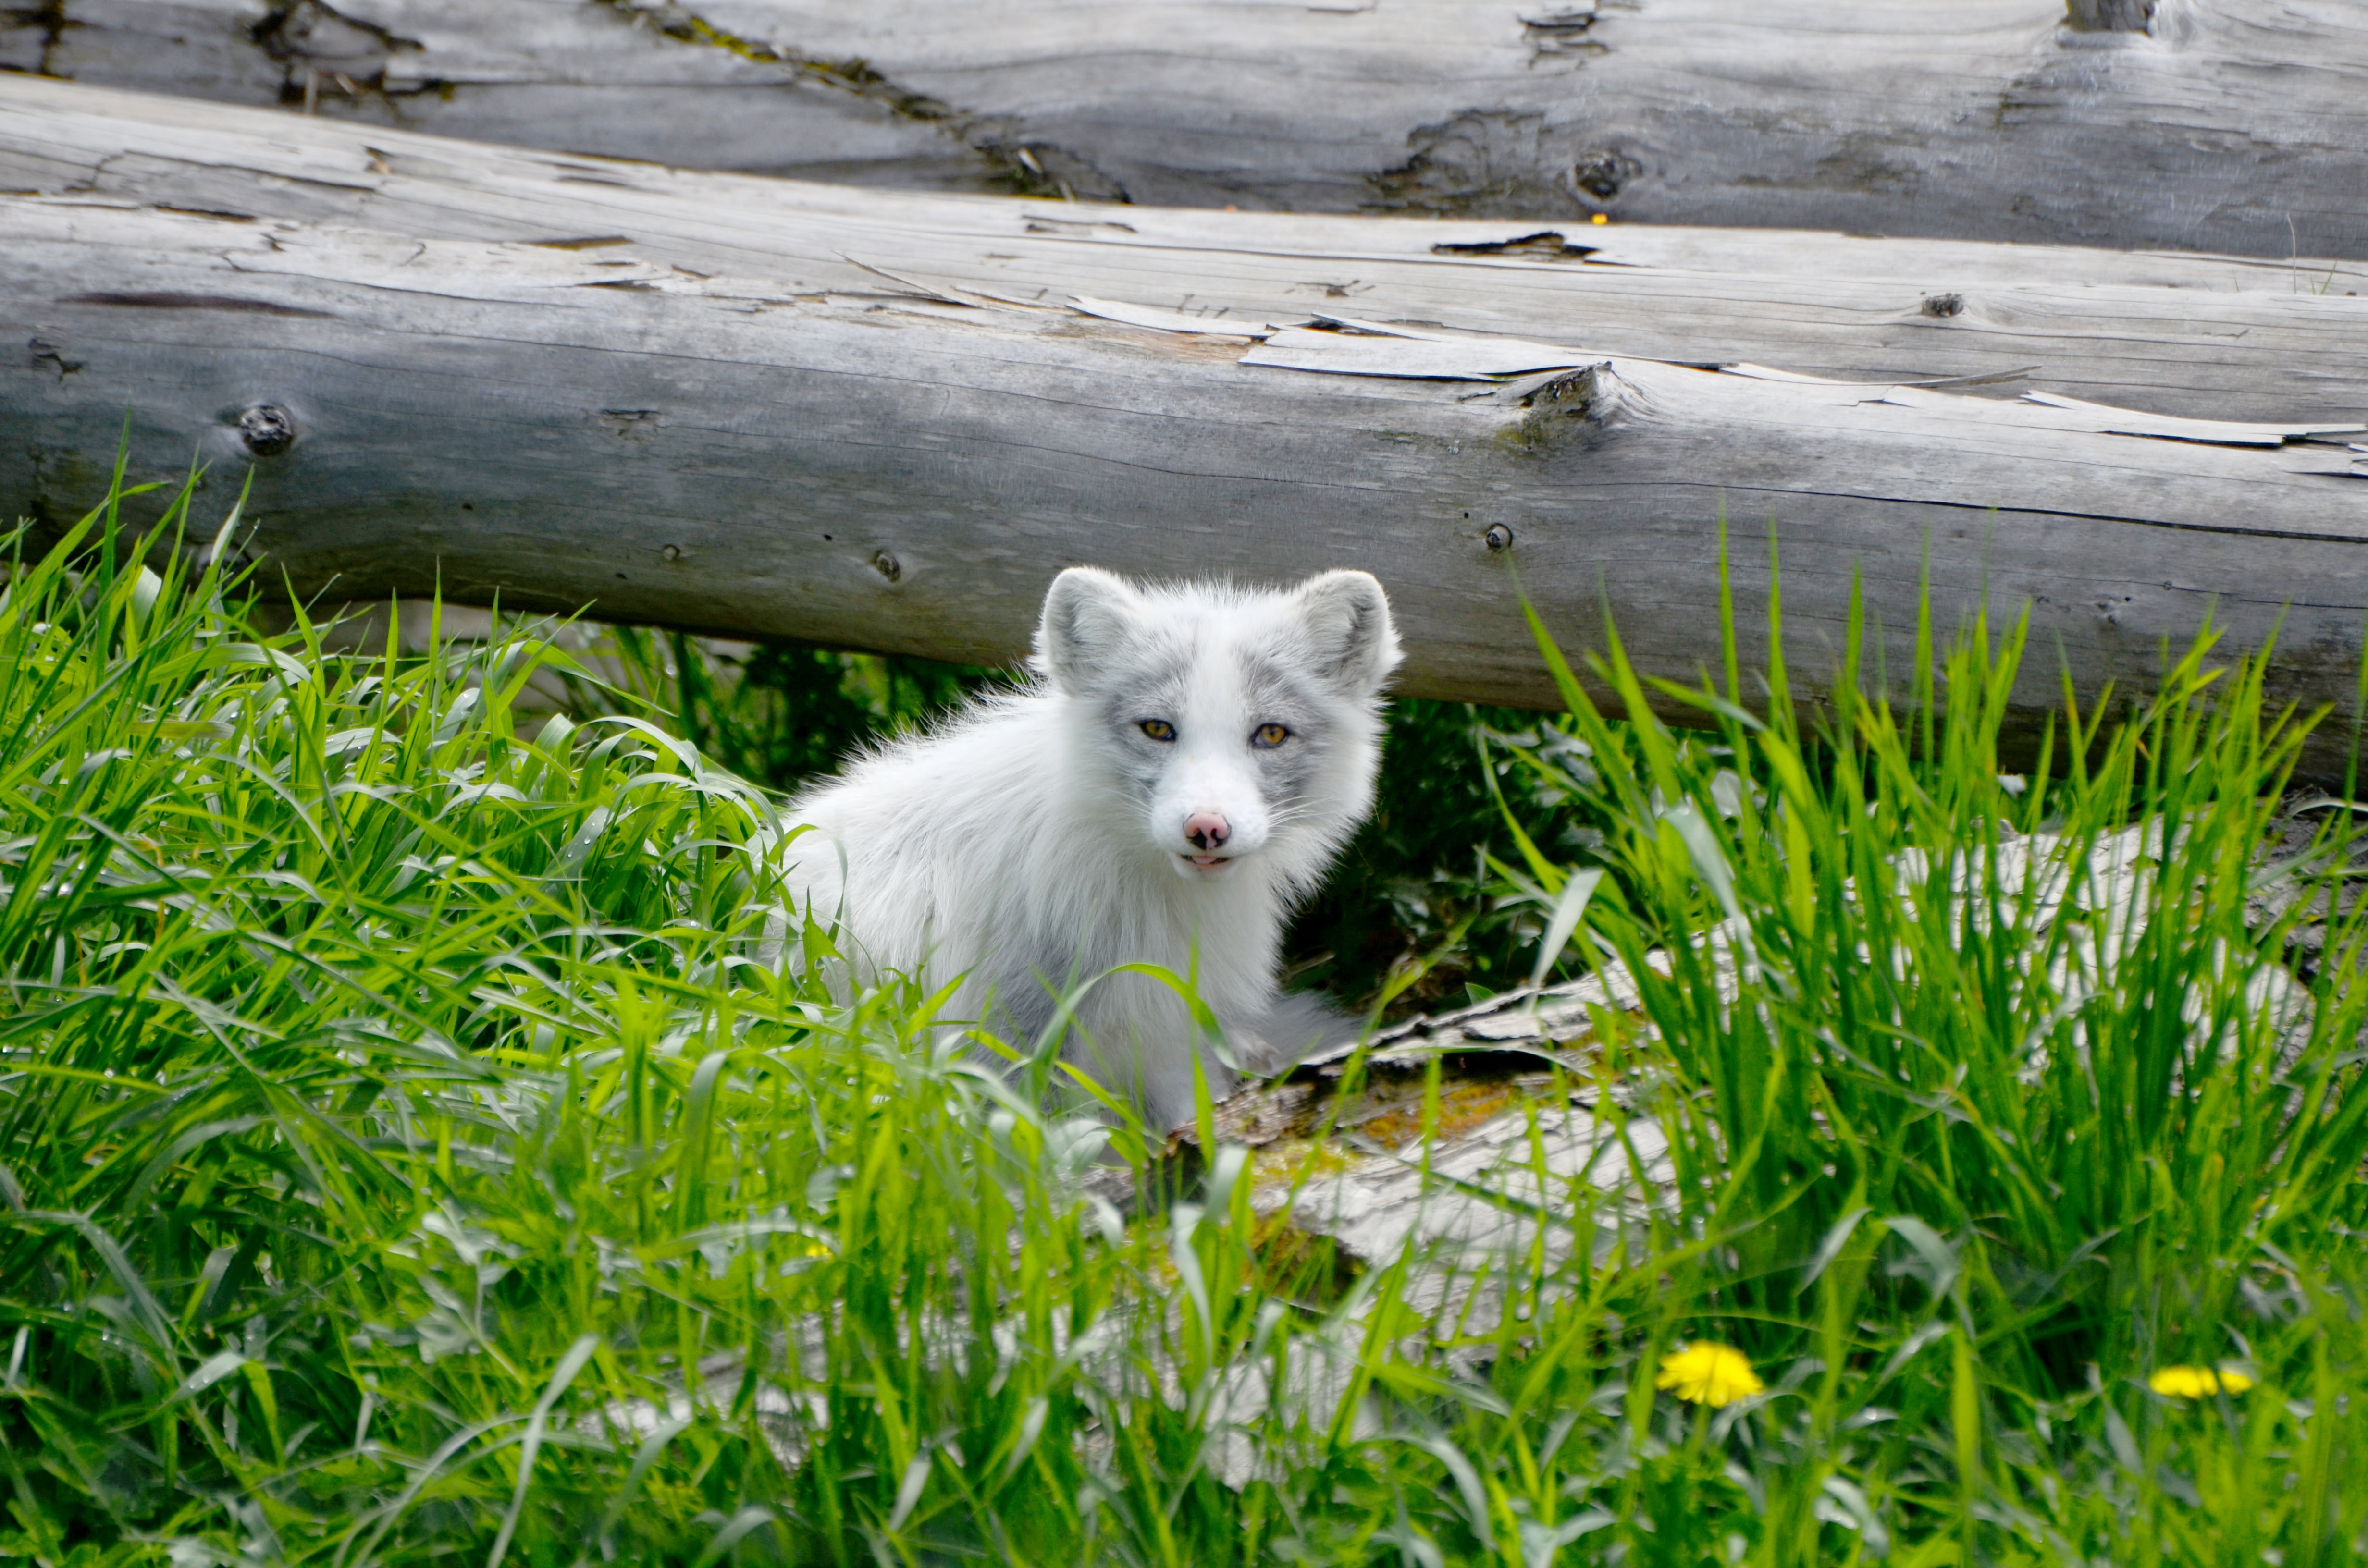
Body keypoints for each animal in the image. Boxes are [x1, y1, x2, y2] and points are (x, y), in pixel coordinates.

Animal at [773, 566, 1400, 1130]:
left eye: (1270, 734)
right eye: (1157, 729)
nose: (1205, 828)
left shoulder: (1165, 1029)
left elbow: (1183, 1121)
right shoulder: (1017, 1037)